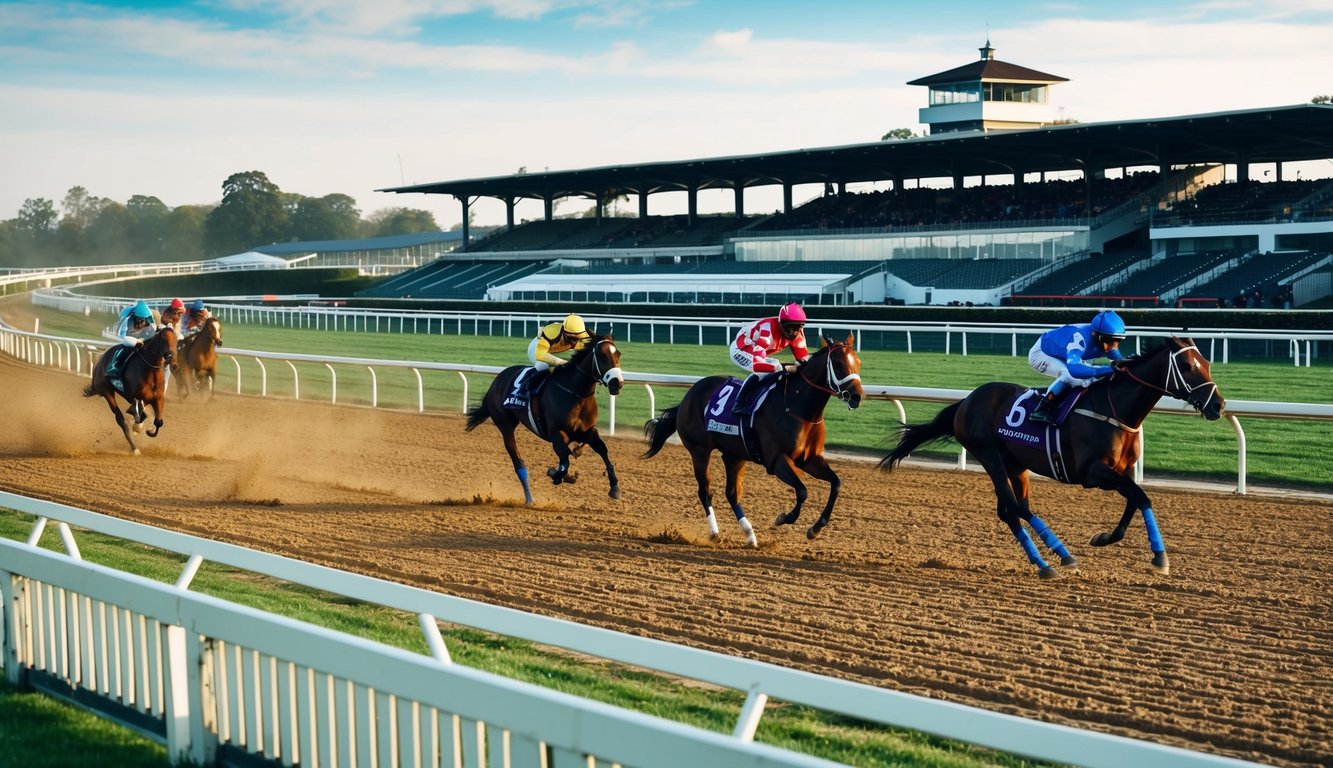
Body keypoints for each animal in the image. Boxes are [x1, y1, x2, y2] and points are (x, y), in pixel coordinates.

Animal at [82, 325, 179, 456]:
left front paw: (149, 430)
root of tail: (101, 359)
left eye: (176, 340)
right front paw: (137, 426)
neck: (151, 372)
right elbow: (138, 414)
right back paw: (135, 448)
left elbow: (158, 421)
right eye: (163, 339)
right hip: (106, 391)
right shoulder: (136, 396)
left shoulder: (158, 399)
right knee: (121, 421)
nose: (171, 359)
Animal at [463, 334, 623, 504]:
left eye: (618, 354)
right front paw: (556, 474)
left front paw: (614, 487)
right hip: (505, 425)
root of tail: (497, 379)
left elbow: (602, 450)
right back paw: (529, 499)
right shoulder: (556, 434)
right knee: (518, 462)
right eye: (602, 355)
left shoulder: (589, 431)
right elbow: (565, 459)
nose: (617, 383)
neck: (576, 394)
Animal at [642, 334, 863, 546]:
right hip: (699, 451)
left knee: (732, 493)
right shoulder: (776, 461)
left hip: (734, 455)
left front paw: (815, 528)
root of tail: (688, 395)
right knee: (704, 491)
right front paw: (784, 518)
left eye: (858, 362)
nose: (856, 396)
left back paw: (750, 535)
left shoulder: (810, 459)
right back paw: (715, 533)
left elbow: (836, 483)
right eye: (838, 364)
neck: (798, 408)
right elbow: (802, 491)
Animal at [879, 336, 1221, 576]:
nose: (1218, 405)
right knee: (1016, 508)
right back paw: (1060, 555)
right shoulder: (1092, 473)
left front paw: (1107, 538)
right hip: (989, 455)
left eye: (1206, 362)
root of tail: (966, 401)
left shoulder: (1122, 471)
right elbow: (1140, 496)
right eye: (1187, 367)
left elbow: (1137, 499)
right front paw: (1160, 557)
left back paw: (1045, 563)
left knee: (1010, 511)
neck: (1114, 409)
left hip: (1015, 464)